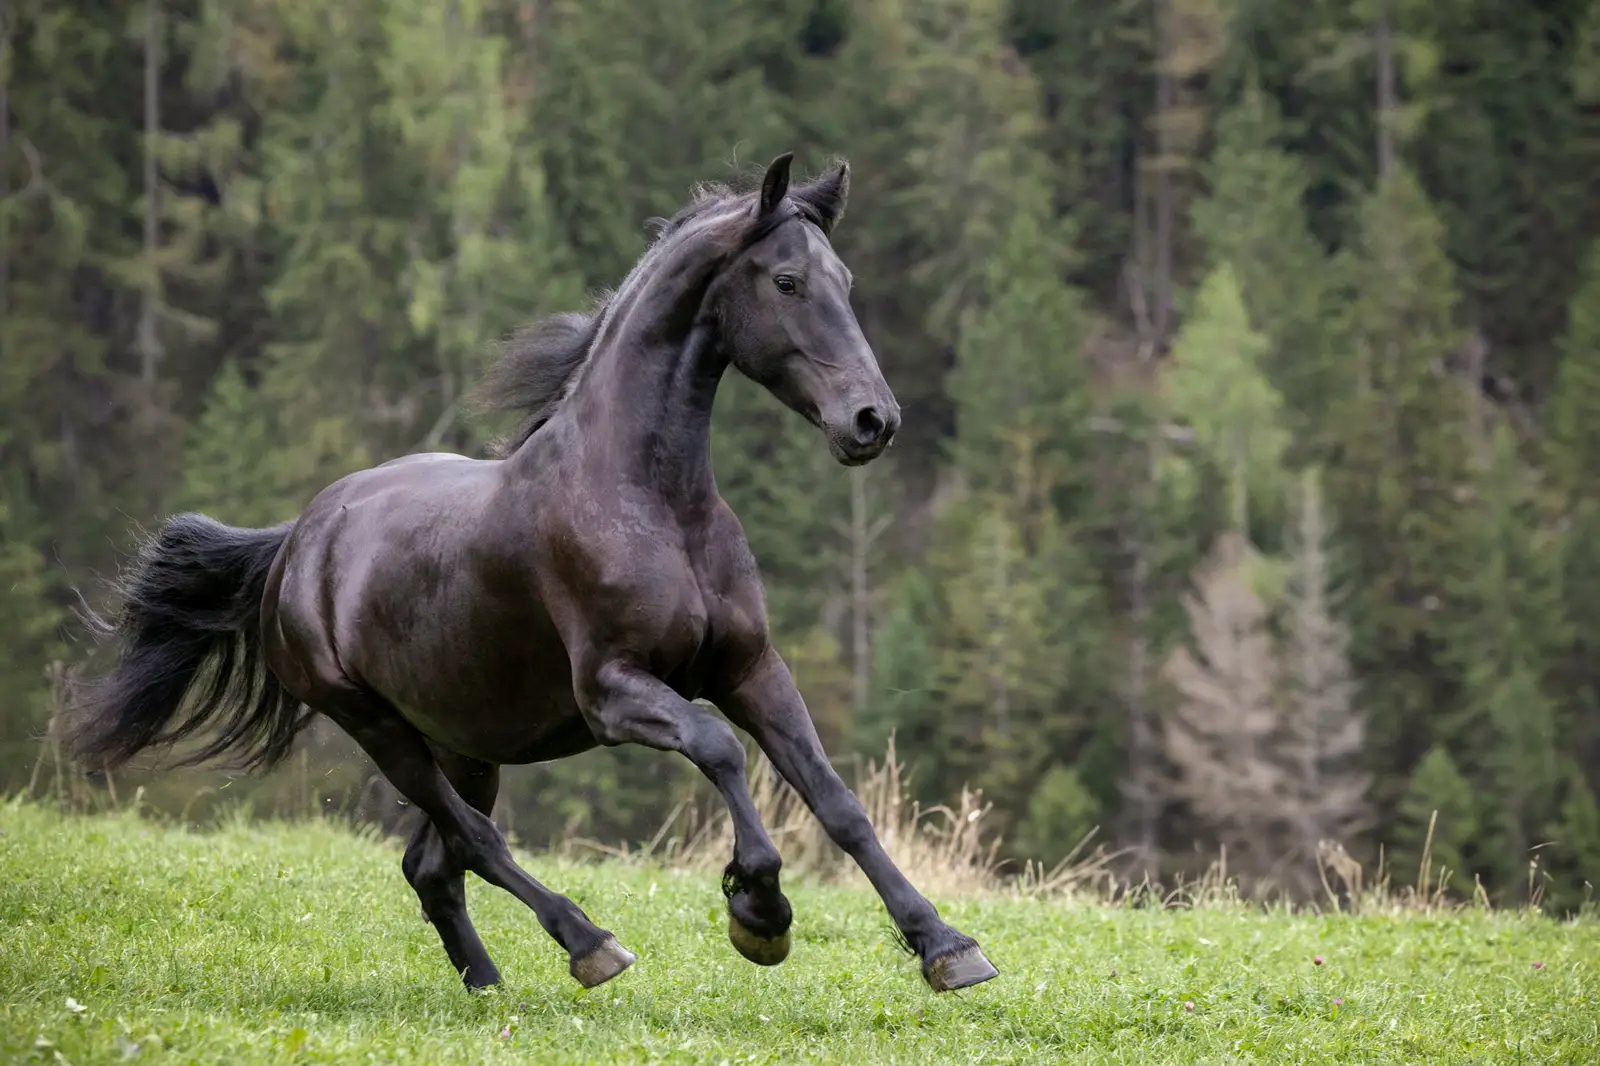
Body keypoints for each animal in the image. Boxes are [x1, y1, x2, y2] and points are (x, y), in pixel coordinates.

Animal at [61, 152, 999, 997]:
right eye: (787, 282)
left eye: (843, 277)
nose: (873, 420)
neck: (653, 501)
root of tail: (297, 541)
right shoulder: (613, 691)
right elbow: (718, 748)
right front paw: (759, 913)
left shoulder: (750, 668)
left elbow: (837, 800)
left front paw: (946, 947)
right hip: (378, 727)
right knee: (474, 842)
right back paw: (589, 944)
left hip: (466, 739)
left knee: (431, 863)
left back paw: (488, 986)